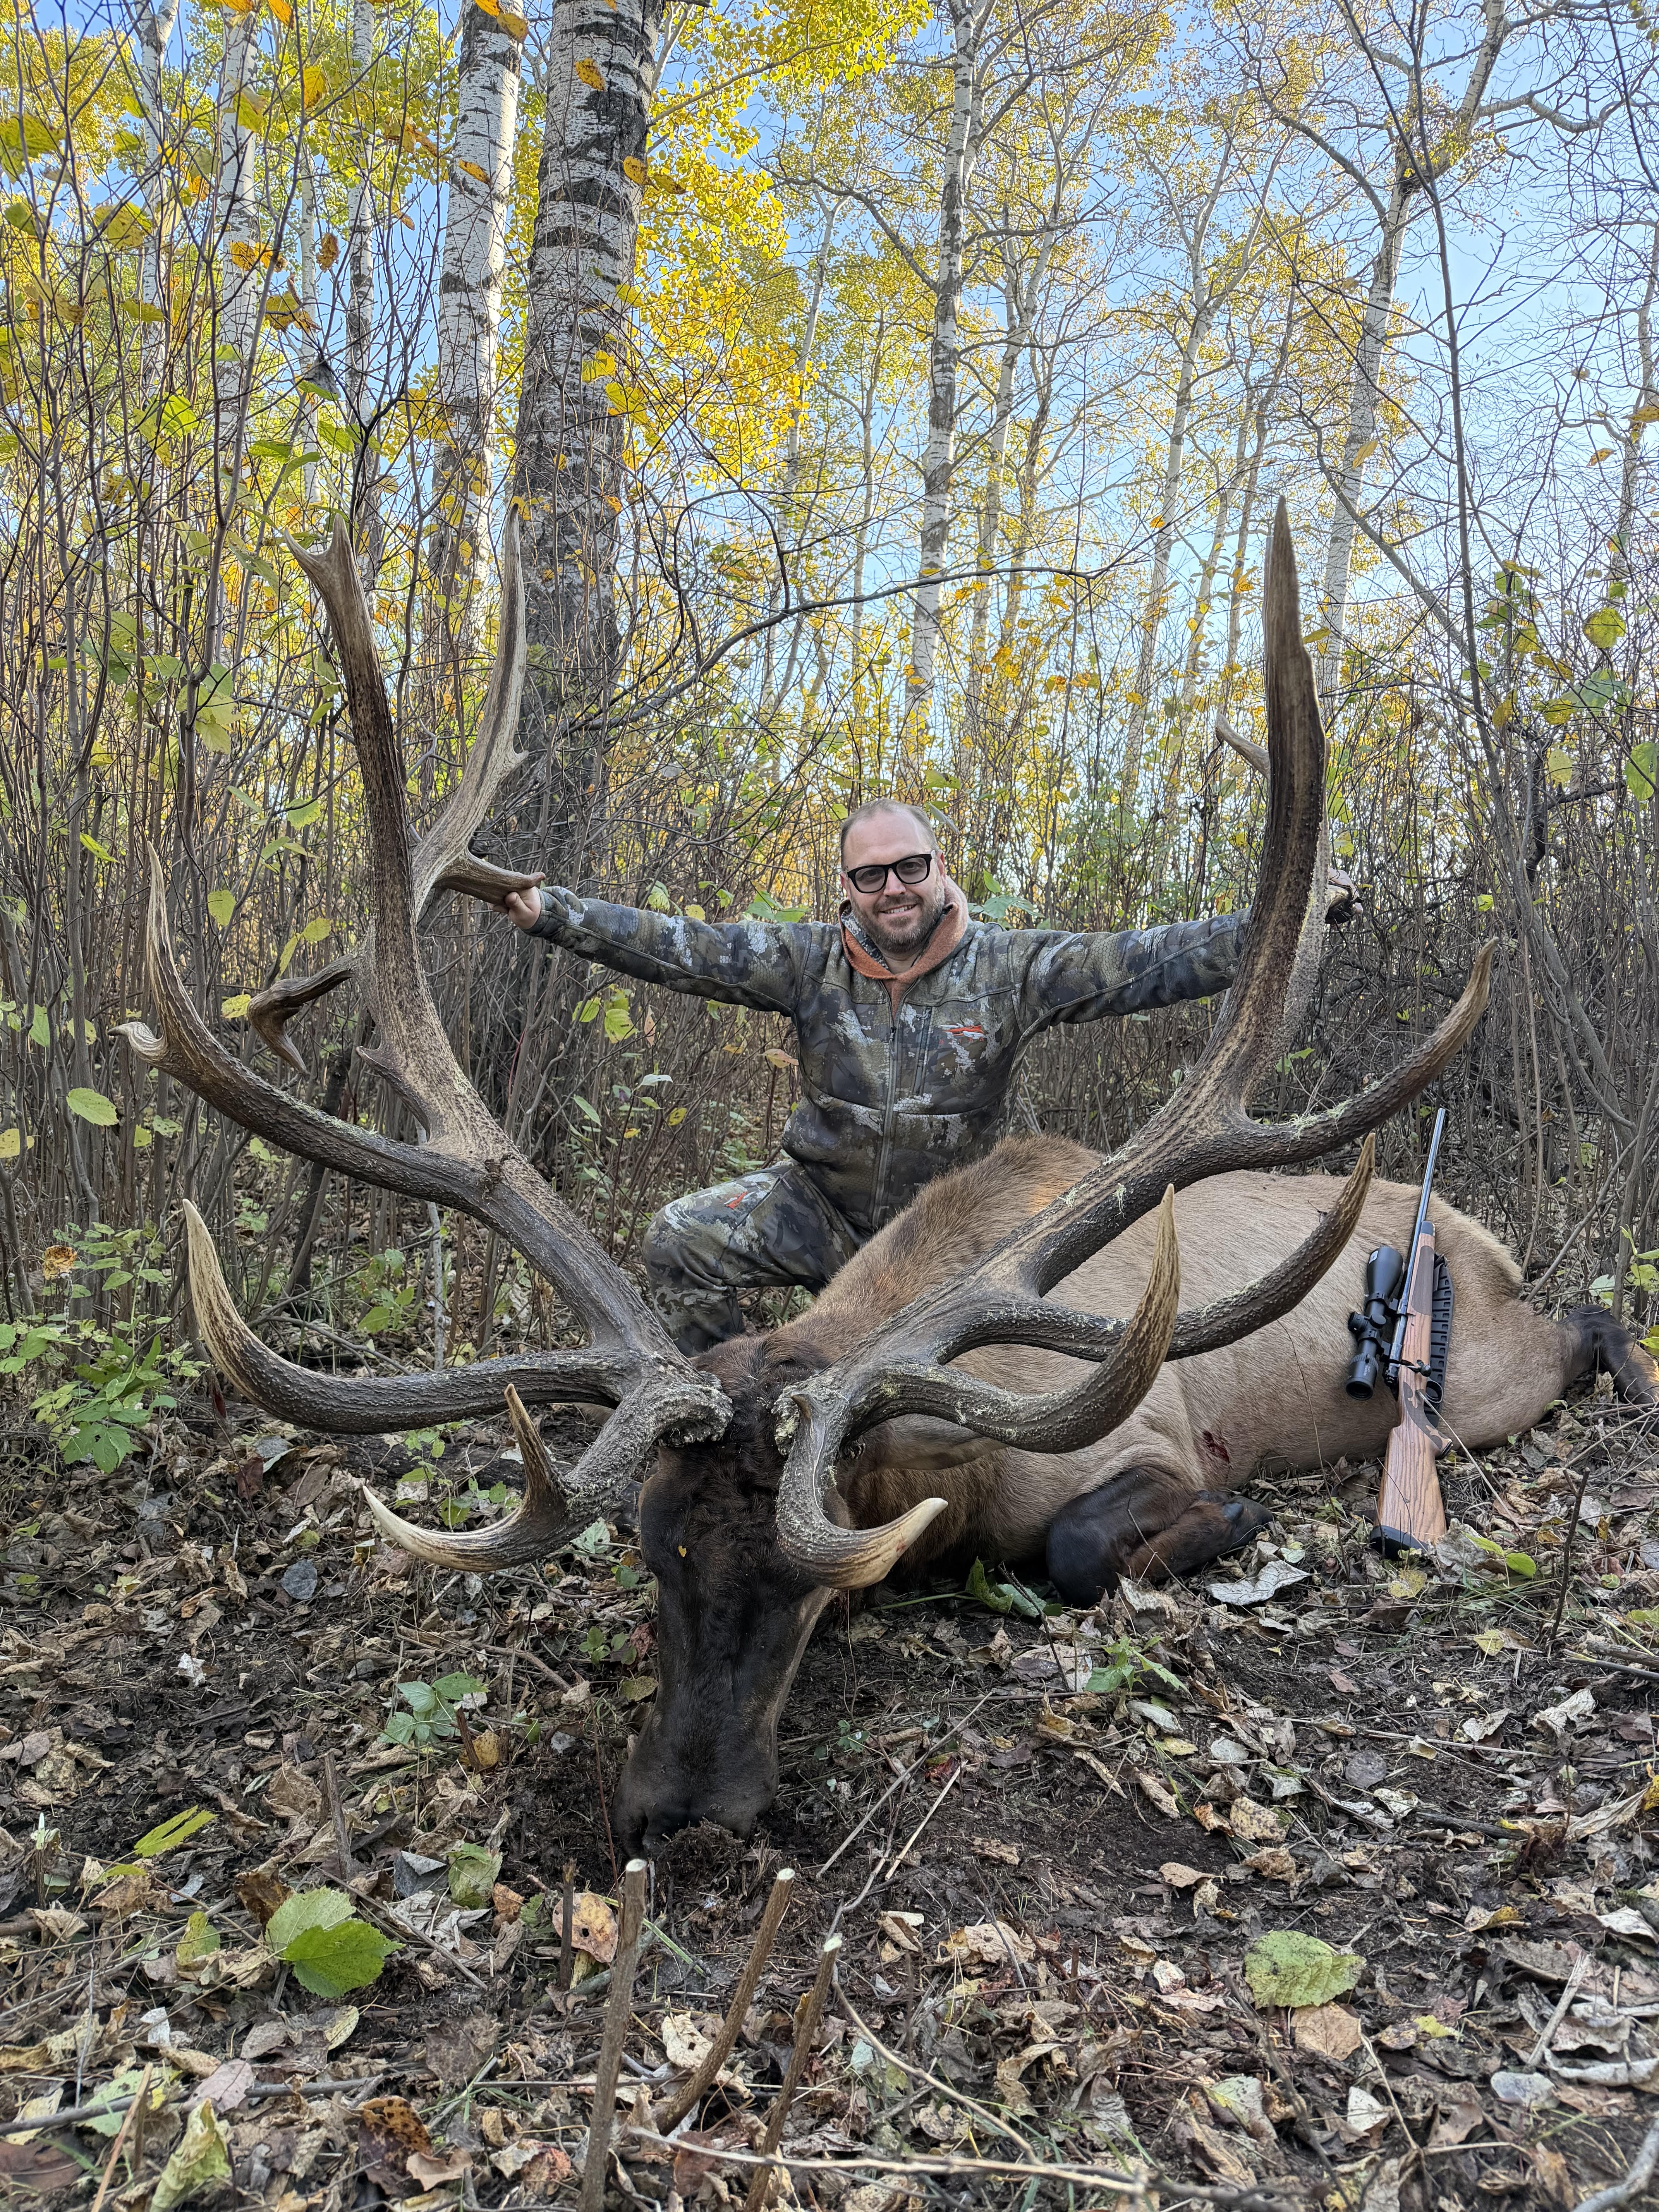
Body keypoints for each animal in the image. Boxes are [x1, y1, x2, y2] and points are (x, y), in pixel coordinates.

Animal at [123, 505, 1658, 1854]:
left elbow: (1083, 1550)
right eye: (650, 1549)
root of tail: (1476, 1238)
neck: (944, 1476)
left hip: (1481, 1381)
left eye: (814, 1578)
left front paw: (1234, 1520)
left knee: (1588, 1320)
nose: (680, 1814)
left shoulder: (1137, 1439)